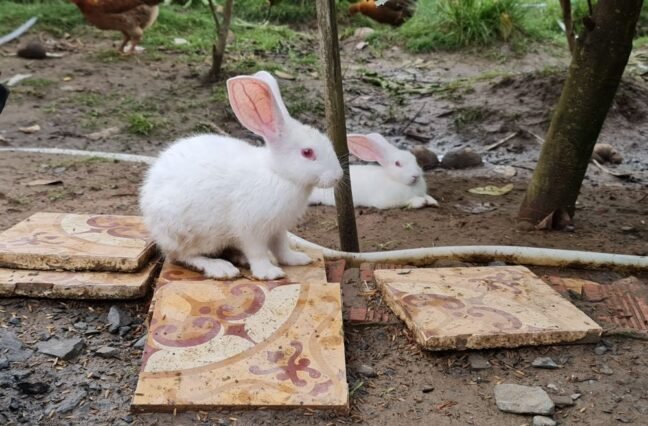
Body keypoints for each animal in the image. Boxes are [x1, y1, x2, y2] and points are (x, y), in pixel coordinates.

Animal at [139, 71, 343, 280]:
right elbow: (257, 252)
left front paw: (297, 259)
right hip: (184, 233)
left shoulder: (278, 229)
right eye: (307, 153)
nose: (338, 176)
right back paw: (221, 268)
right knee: (183, 256)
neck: (278, 174)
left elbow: (281, 248)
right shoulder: (251, 229)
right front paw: (269, 273)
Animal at [309, 133, 439, 209]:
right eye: (397, 164)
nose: (416, 176)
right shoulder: (386, 202)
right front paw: (420, 202)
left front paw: (433, 201)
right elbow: (406, 202)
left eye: (414, 159)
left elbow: (427, 196)